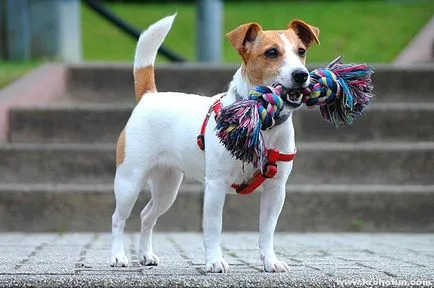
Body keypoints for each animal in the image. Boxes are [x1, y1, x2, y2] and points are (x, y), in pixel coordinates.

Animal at [109, 14, 318, 274]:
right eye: (271, 52)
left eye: (301, 51)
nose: (301, 74)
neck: (261, 119)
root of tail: (150, 96)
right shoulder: (216, 186)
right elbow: (213, 228)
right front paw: (215, 261)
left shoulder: (276, 190)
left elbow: (267, 231)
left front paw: (270, 262)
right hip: (129, 181)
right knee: (118, 218)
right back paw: (118, 256)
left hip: (167, 187)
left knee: (147, 215)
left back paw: (146, 255)